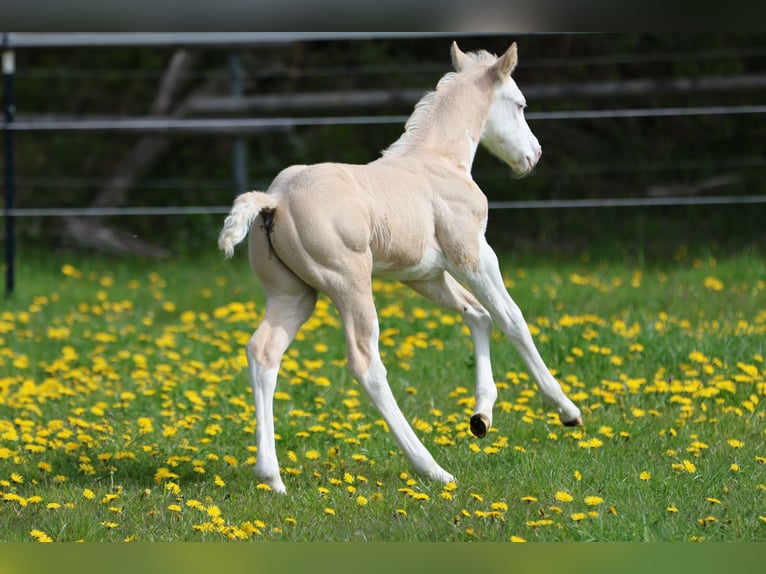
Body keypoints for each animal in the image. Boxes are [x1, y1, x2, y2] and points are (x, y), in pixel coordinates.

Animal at [218, 41, 583, 493]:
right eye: (520, 104)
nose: (534, 155)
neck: (438, 162)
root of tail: (274, 200)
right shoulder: (474, 254)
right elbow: (511, 318)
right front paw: (567, 410)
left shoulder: (423, 274)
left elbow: (477, 315)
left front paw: (481, 416)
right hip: (350, 285)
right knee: (366, 364)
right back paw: (432, 467)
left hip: (293, 295)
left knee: (263, 352)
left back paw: (272, 477)